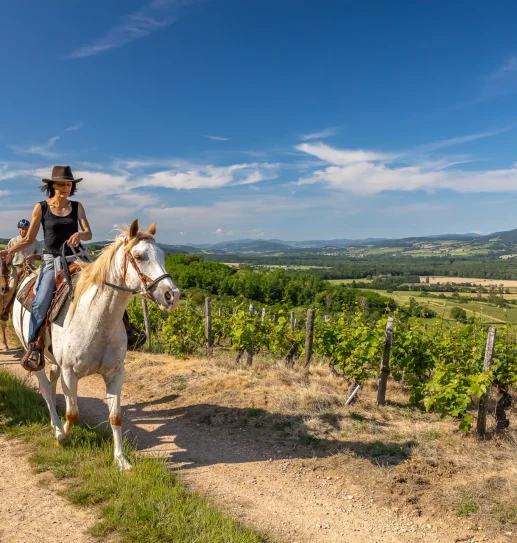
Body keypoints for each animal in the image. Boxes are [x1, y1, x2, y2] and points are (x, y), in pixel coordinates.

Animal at [11, 220, 179, 468]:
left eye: (163, 255)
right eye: (139, 256)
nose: (172, 295)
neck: (96, 318)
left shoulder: (115, 373)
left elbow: (115, 416)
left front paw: (121, 460)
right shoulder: (69, 373)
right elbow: (72, 412)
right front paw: (64, 437)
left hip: (53, 361)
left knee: (52, 385)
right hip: (34, 355)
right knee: (45, 390)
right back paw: (56, 427)